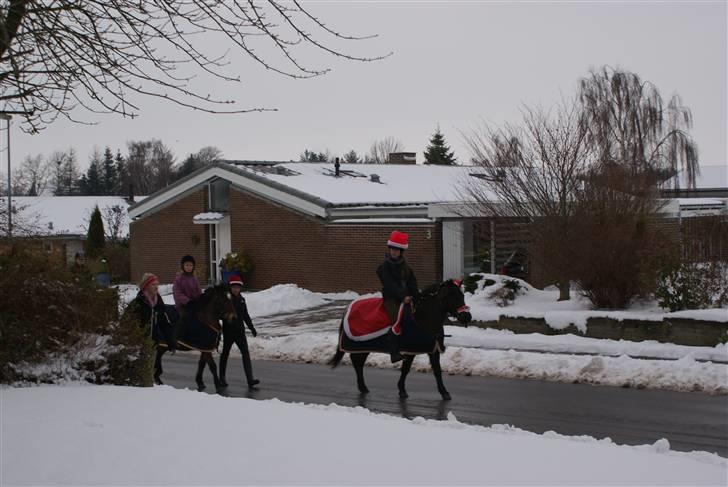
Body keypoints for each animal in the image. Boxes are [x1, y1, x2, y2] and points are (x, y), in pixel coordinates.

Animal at [326, 280, 472, 402]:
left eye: (462, 295)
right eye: (452, 296)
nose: (466, 316)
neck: (422, 317)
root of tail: (349, 307)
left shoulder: (433, 350)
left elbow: (437, 371)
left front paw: (444, 393)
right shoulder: (410, 351)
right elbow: (405, 369)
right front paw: (402, 390)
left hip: (364, 347)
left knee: (358, 363)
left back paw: (363, 387)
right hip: (360, 344)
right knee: (357, 363)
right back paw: (363, 387)